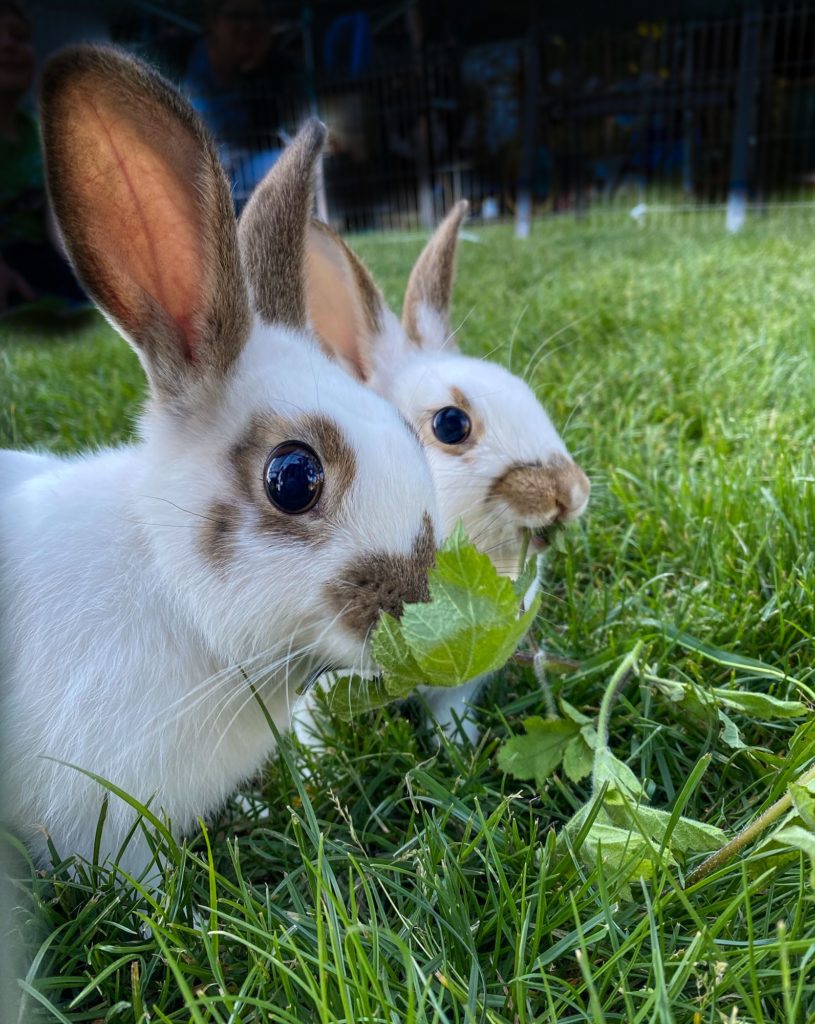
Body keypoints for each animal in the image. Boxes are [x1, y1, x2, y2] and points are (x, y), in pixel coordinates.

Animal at [303, 201, 589, 745]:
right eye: (450, 424)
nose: (571, 493)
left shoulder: (458, 686)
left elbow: (449, 717)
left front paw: (462, 748)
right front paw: (316, 764)